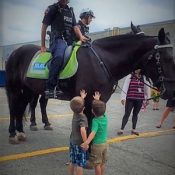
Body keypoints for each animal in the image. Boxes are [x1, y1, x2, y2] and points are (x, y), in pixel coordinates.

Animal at [5, 27, 175, 144]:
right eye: (168, 58)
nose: (171, 92)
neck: (103, 61)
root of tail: (14, 52)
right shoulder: (87, 102)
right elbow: (88, 128)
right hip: (15, 87)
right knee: (14, 107)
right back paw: (13, 134)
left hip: (28, 89)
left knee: (22, 106)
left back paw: (21, 131)